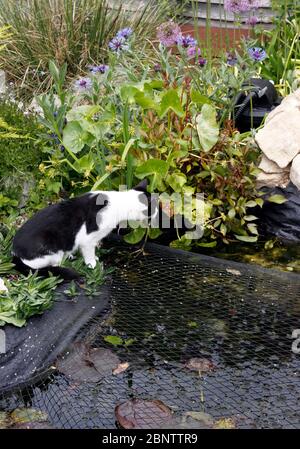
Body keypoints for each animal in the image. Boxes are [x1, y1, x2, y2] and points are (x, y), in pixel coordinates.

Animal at [12, 179, 154, 280]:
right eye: (154, 208)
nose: (157, 214)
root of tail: (14, 253)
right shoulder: (87, 240)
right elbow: (89, 252)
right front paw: (92, 263)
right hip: (49, 248)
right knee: (48, 265)